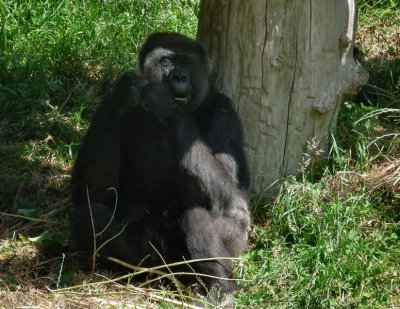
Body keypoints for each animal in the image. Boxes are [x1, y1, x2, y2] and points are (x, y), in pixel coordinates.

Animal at [69, 31, 250, 298]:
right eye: (167, 61)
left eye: (185, 62)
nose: (179, 76)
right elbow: (94, 192)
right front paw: (126, 91)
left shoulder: (223, 114)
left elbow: (231, 199)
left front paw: (168, 106)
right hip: (154, 261)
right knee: (89, 216)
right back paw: (136, 268)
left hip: (235, 248)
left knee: (198, 217)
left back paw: (220, 288)